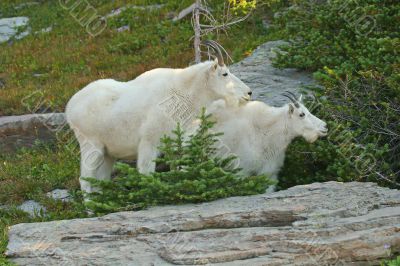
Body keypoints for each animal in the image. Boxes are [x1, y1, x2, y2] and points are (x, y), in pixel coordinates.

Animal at [67, 40, 252, 192]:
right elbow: (146, 173)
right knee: (85, 179)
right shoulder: (149, 142)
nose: (249, 93)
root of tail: (70, 107)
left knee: (100, 180)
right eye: (224, 74)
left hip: (108, 153)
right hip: (91, 145)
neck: (184, 94)